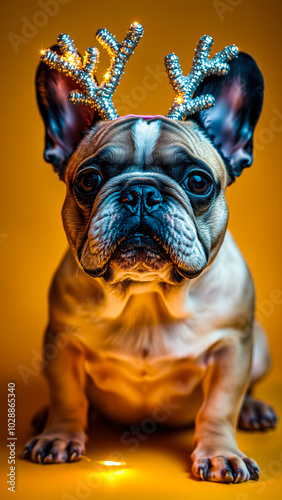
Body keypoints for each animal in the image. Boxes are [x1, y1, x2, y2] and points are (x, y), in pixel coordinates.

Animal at [22, 32, 278, 484]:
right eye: (88, 180)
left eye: (198, 181)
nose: (141, 191)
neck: (146, 298)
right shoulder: (60, 342)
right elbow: (67, 394)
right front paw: (59, 436)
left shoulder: (233, 346)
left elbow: (220, 405)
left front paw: (220, 454)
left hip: (260, 346)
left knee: (245, 392)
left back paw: (254, 409)